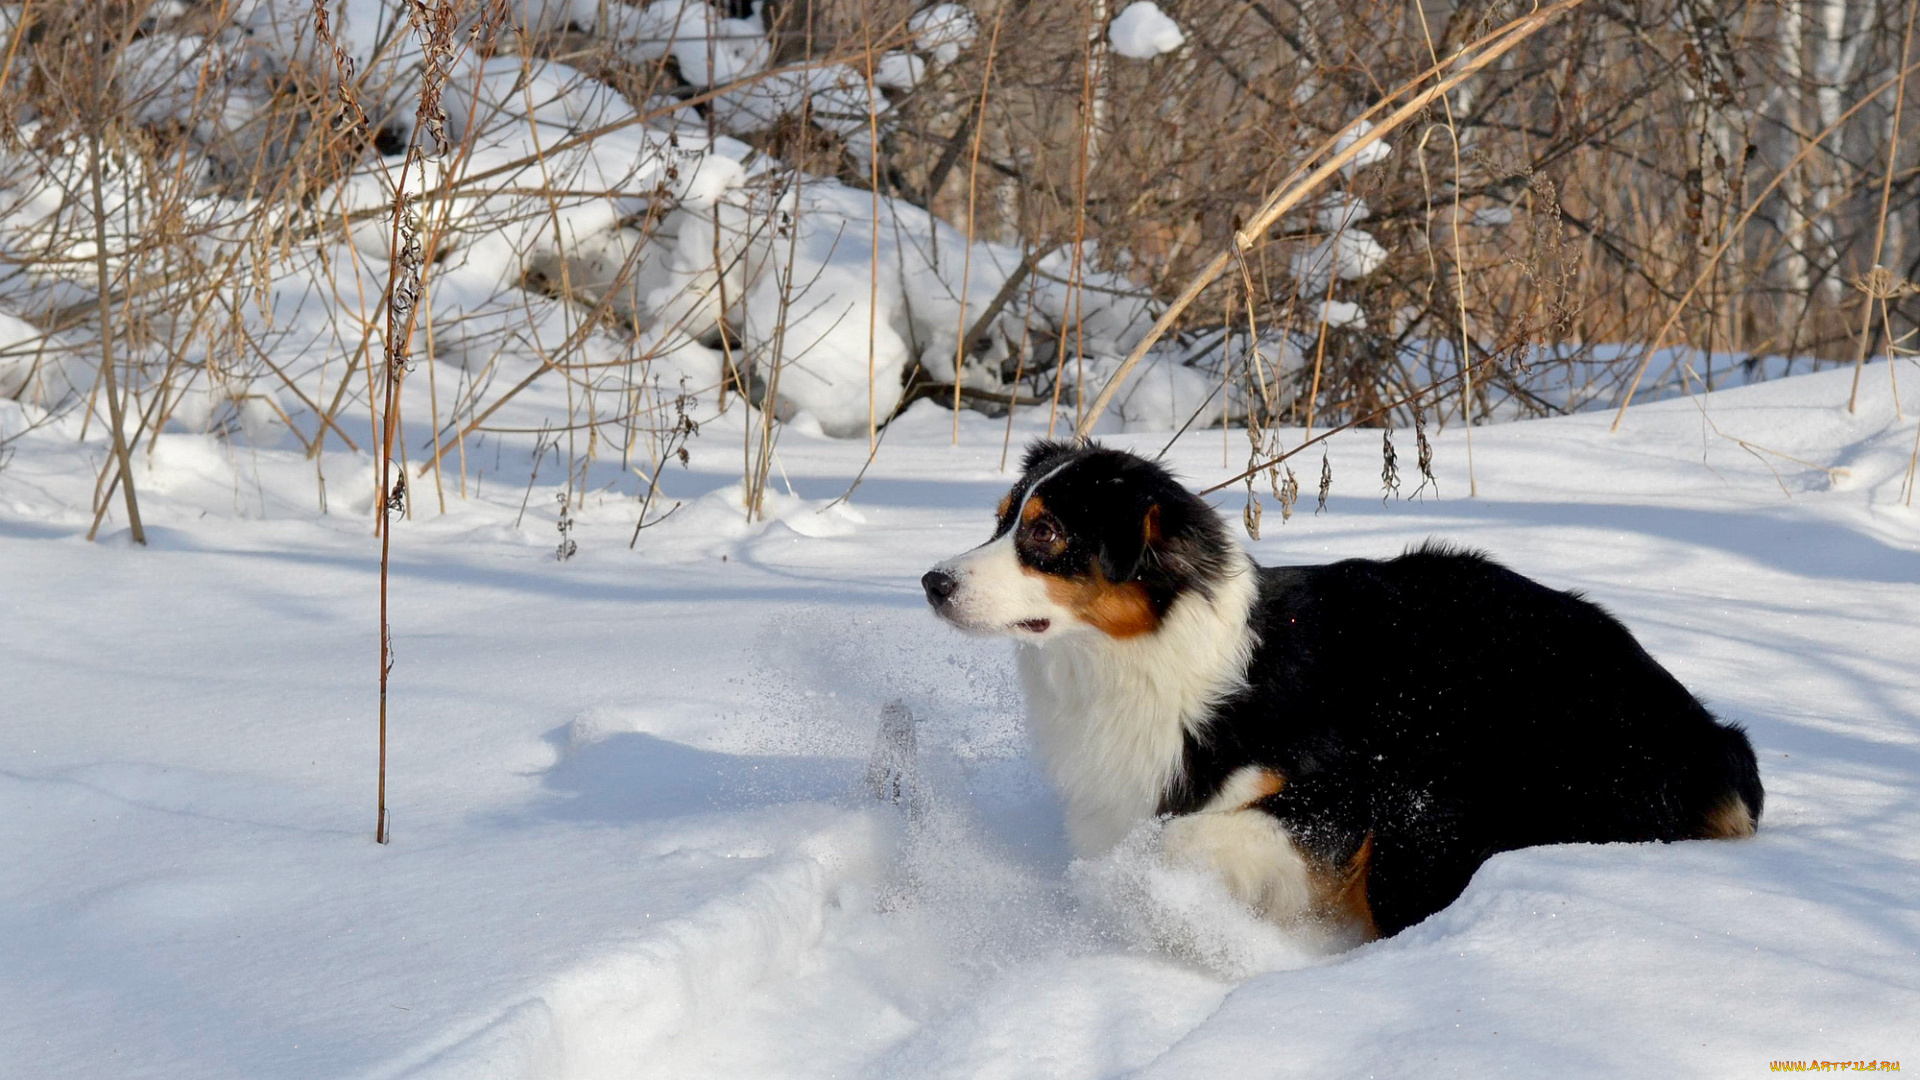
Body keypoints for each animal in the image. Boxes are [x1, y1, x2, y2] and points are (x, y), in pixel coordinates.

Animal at [921, 438, 1758, 933]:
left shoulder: (1341, 792)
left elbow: (1182, 836)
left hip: (1452, 786)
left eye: (1046, 533)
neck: (1155, 654)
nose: (932, 582)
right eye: (1001, 520)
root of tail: (1710, 736)